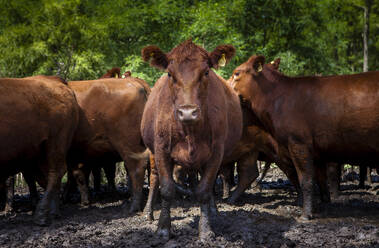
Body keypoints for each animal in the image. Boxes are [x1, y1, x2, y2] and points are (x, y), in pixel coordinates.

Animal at [140, 40, 243, 240]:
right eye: (170, 74)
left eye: (206, 72)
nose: (187, 112)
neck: (189, 132)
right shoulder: (162, 149)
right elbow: (167, 189)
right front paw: (163, 229)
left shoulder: (216, 153)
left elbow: (204, 190)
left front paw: (206, 229)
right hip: (152, 153)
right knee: (154, 178)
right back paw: (148, 213)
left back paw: (213, 210)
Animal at [230, 53, 379, 219]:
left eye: (237, 73)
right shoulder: (317, 151)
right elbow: (320, 179)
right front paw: (322, 205)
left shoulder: (298, 143)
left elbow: (306, 180)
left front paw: (306, 214)